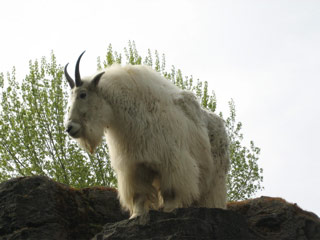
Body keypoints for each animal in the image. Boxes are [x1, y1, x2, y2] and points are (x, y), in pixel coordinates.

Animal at [64, 51, 230, 218]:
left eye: (83, 94)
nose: (69, 128)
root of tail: (222, 128)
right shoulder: (134, 166)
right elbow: (138, 194)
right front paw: (136, 216)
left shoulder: (172, 162)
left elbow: (171, 191)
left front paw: (170, 210)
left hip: (216, 176)